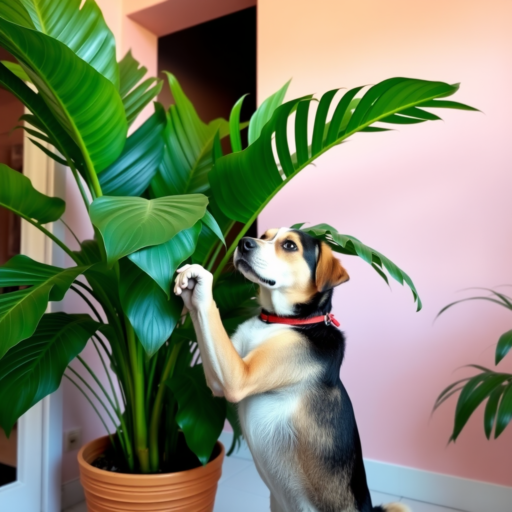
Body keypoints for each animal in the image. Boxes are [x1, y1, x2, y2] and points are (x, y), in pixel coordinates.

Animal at [174, 228, 410, 512]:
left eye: (289, 245)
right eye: (265, 236)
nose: (244, 242)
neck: (279, 321)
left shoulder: (238, 377)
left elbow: (210, 313)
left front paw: (202, 283)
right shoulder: (219, 374)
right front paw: (189, 287)